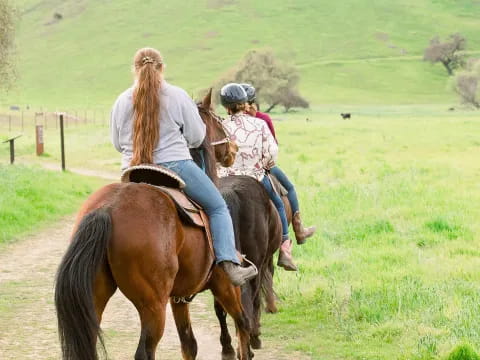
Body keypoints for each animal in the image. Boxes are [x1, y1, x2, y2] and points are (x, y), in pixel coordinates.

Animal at [54, 90, 253, 360]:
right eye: (219, 121)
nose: (233, 148)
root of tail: (108, 209)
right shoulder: (225, 285)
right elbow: (242, 323)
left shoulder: (178, 298)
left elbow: (189, 345)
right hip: (153, 306)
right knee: (145, 351)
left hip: (95, 296)